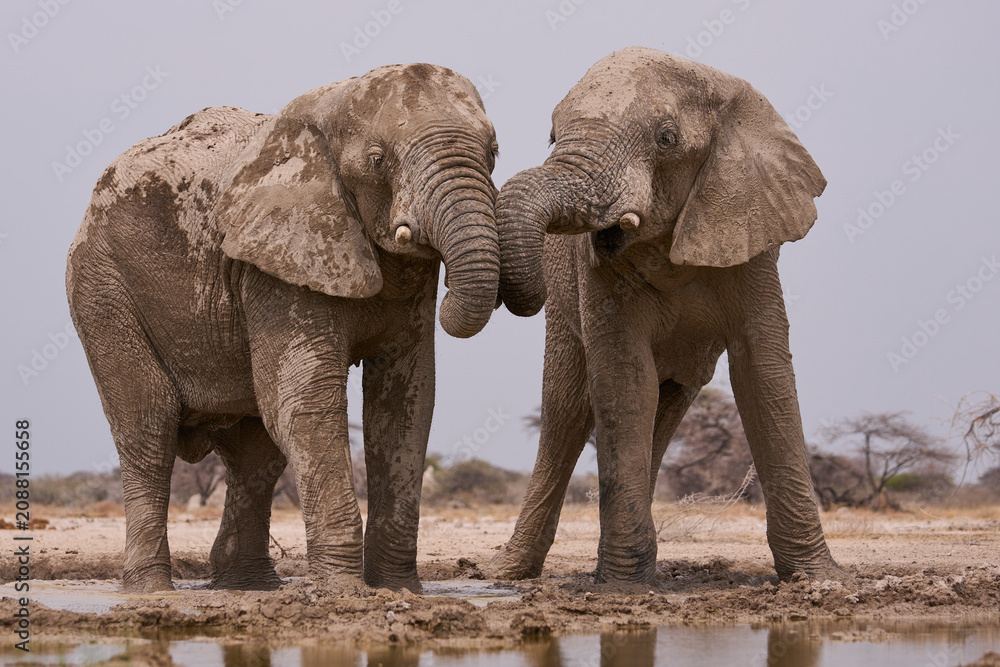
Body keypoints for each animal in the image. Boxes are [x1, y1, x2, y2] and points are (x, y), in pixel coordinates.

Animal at [66, 63, 501, 593]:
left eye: (494, 152)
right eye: (378, 160)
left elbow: (405, 403)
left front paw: (398, 589)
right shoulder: (276, 261)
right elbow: (307, 400)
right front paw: (345, 592)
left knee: (255, 451)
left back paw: (248, 585)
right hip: (101, 287)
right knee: (148, 428)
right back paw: (152, 590)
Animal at [488, 47, 845, 585]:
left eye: (666, 138)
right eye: (552, 135)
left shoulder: (752, 234)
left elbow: (763, 372)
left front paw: (817, 577)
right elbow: (624, 378)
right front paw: (622, 587)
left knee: (665, 406)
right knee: (565, 415)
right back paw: (510, 572)